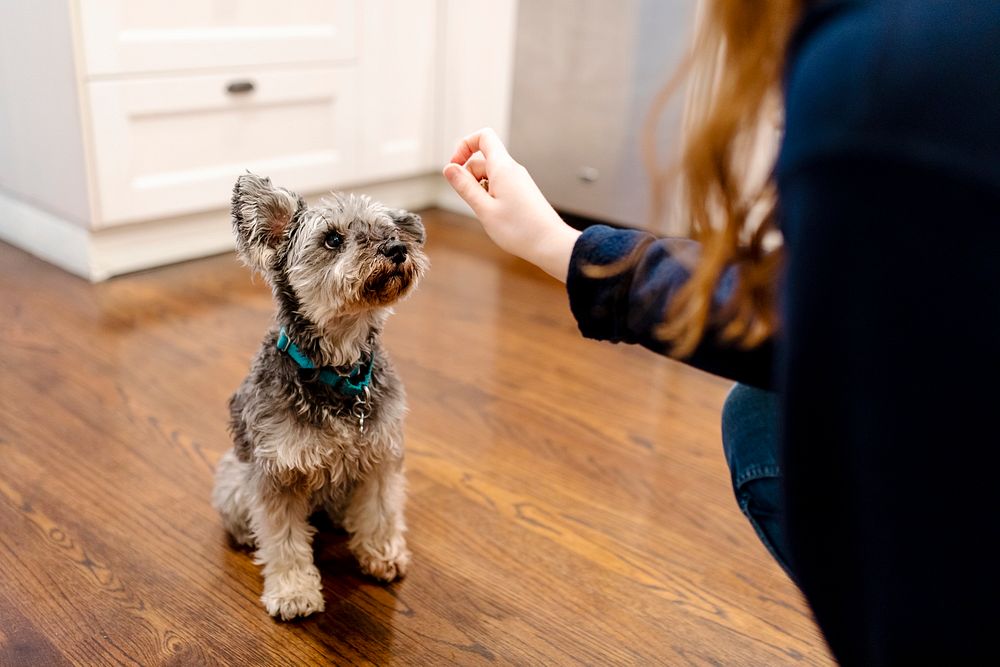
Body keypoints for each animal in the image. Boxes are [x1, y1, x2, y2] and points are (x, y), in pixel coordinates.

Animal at [211, 174, 426, 620]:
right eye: (332, 239)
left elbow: (381, 512)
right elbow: (284, 541)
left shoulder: (380, 459)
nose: (397, 249)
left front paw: (382, 555)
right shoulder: (277, 476)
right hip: (234, 479)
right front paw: (294, 593)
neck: (339, 373)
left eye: (389, 230)